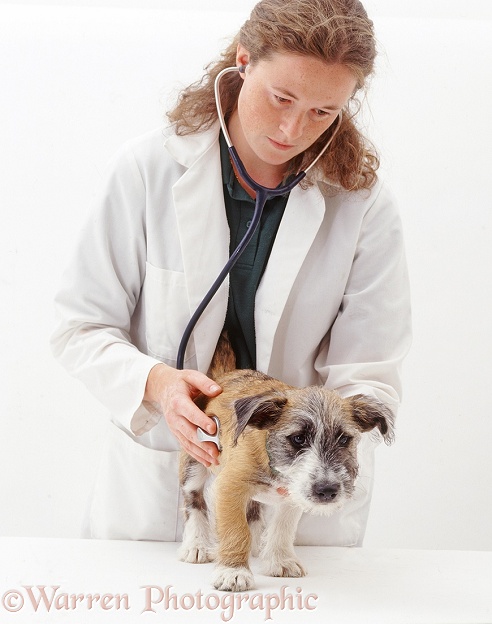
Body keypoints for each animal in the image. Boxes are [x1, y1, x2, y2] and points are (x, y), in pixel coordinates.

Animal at [179, 332, 394, 588]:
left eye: (344, 439)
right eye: (298, 438)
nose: (327, 490)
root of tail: (223, 378)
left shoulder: (293, 497)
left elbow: (283, 527)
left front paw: (281, 561)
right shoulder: (230, 487)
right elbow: (236, 529)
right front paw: (233, 571)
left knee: (253, 509)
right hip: (194, 461)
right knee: (194, 501)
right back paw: (197, 545)